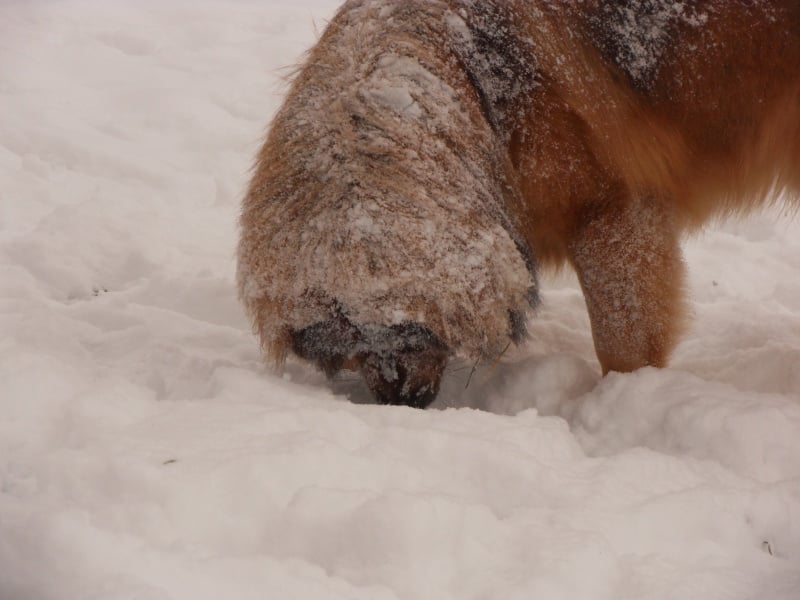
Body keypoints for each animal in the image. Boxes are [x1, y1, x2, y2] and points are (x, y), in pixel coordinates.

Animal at [238, 0, 800, 408]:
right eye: (353, 342)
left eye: (412, 330)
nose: (401, 401)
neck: (474, 85)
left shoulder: (613, 215)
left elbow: (624, 340)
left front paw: (622, 400)